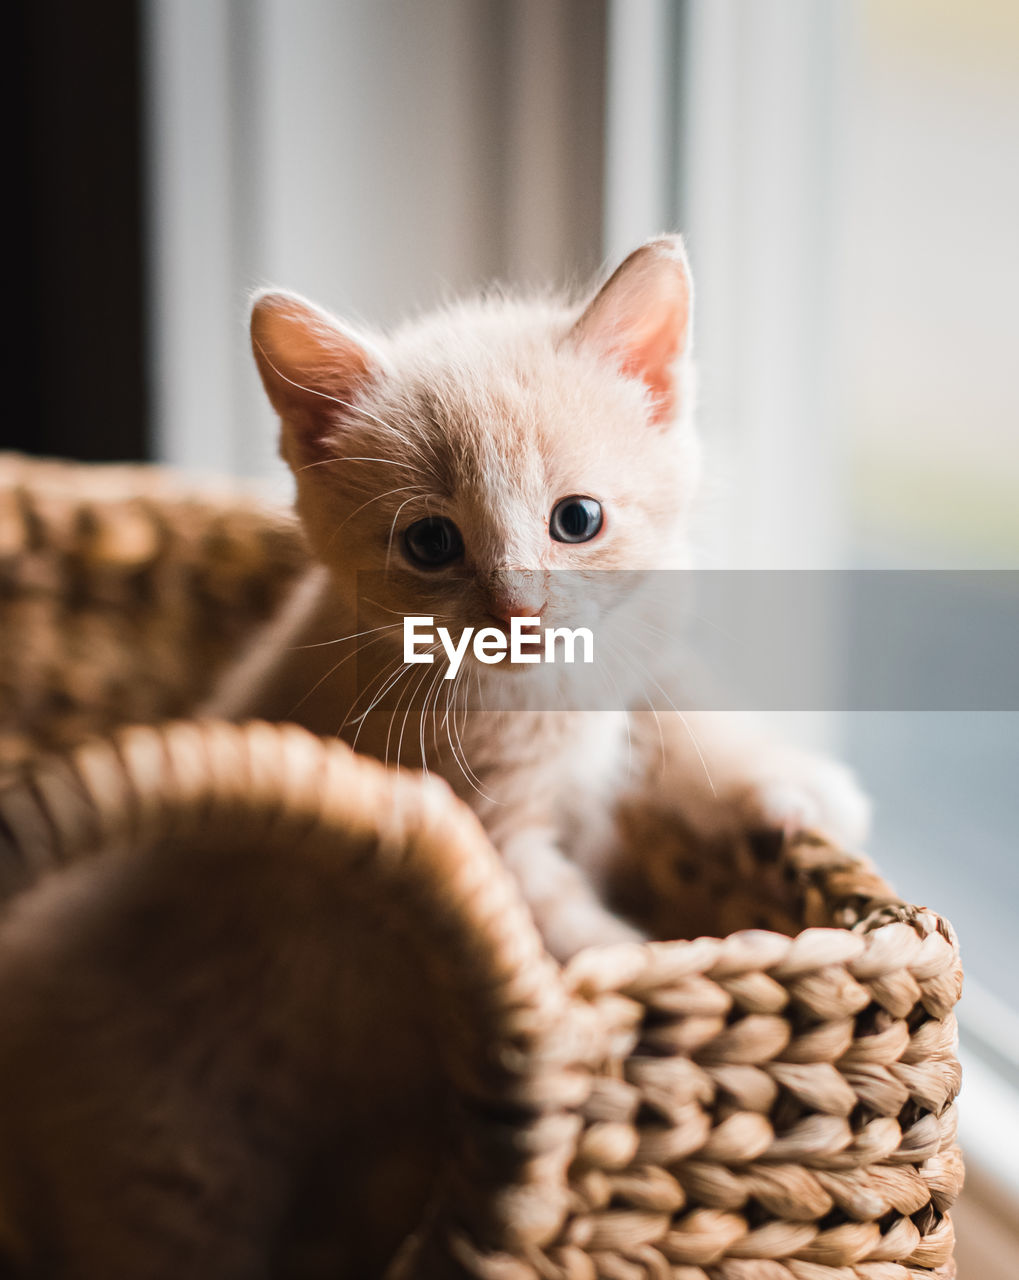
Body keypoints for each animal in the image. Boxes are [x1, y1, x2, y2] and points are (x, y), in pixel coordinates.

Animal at [212, 238, 865, 962]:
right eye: (431, 542)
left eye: (577, 519)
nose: (518, 612)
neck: (553, 697)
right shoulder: (479, 829)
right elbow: (566, 927)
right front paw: (687, 959)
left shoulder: (638, 659)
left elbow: (683, 724)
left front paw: (787, 784)